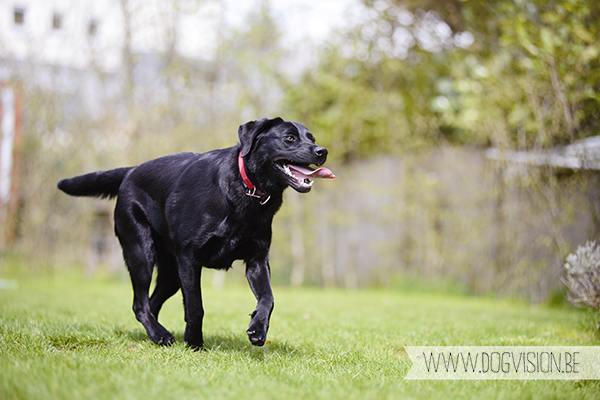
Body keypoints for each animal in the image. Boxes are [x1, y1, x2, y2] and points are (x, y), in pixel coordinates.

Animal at [56, 117, 332, 348]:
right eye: (289, 138)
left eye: (312, 138)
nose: (322, 151)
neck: (247, 191)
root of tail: (131, 171)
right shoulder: (189, 259)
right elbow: (195, 306)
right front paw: (194, 343)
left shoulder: (257, 260)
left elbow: (268, 298)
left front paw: (257, 329)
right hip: (141, 252)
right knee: (140, 303)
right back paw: (161, 335)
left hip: (171, 273)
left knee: (151, 303)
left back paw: (155, 334)